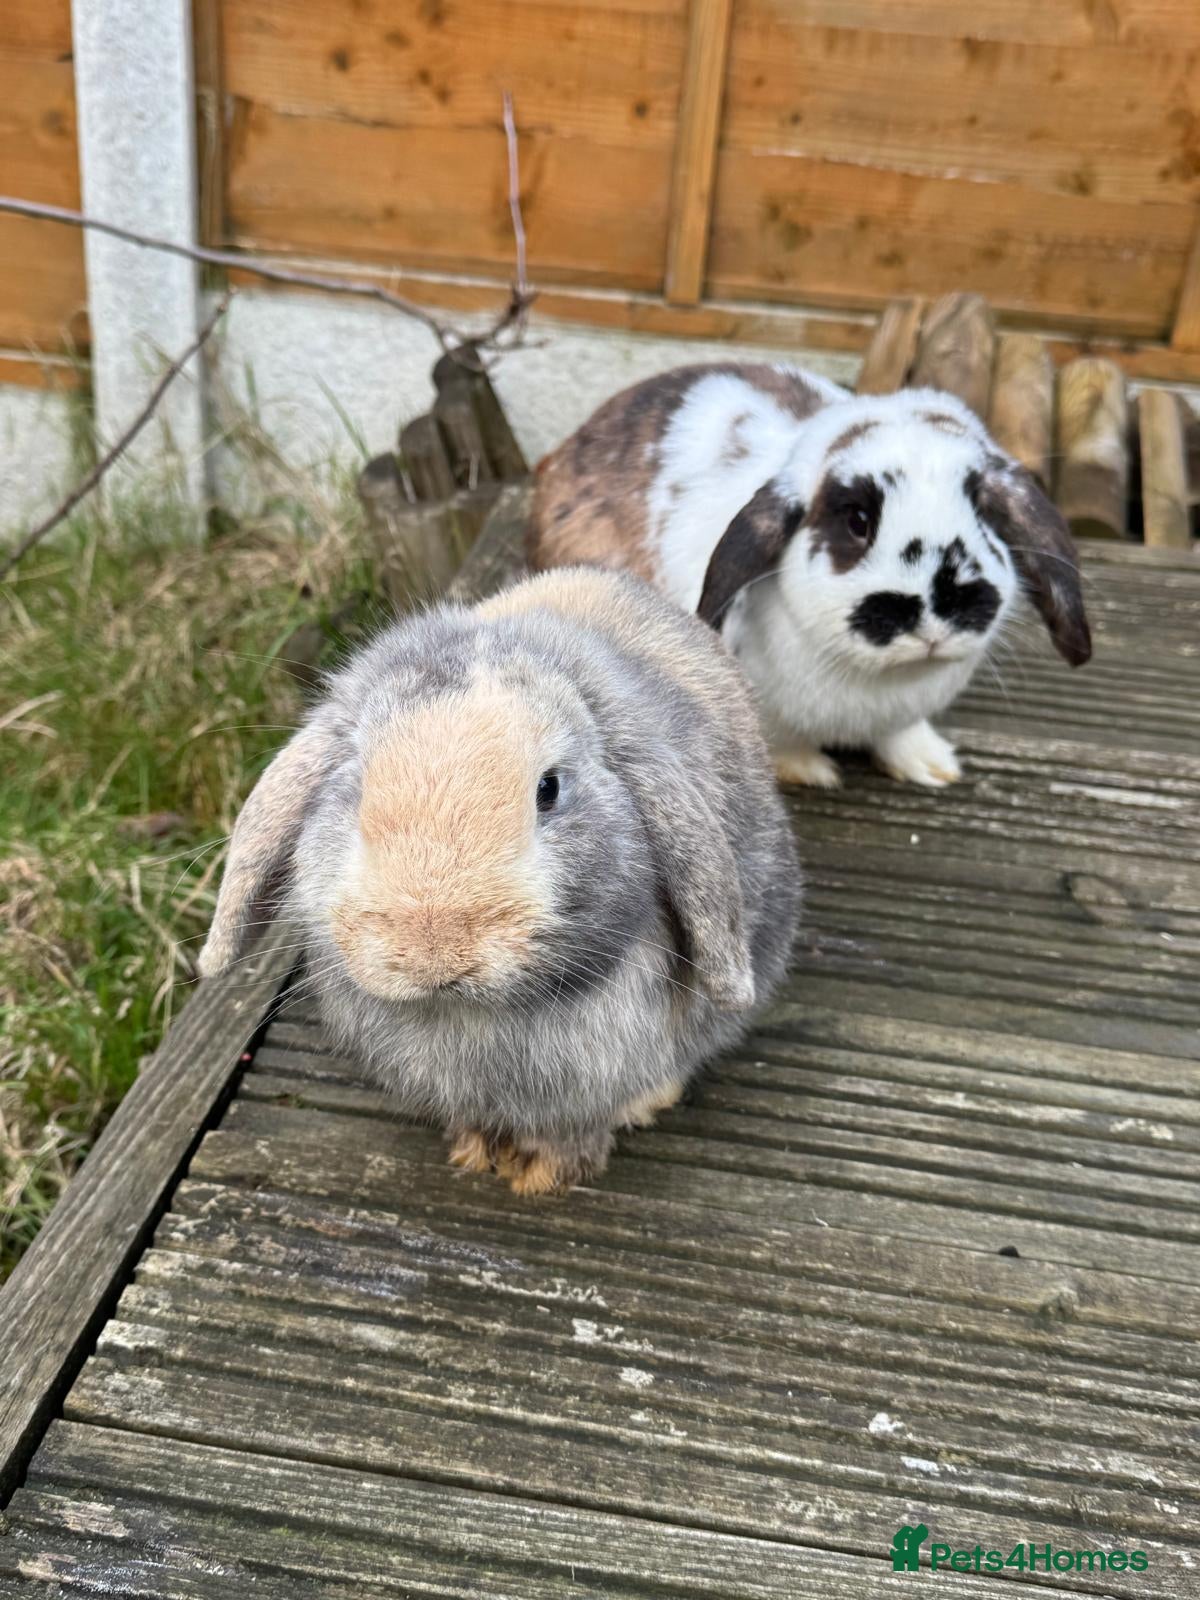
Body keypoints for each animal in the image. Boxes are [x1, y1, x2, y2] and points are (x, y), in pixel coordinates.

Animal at [199, 566, 801, 1196]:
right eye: (359, 784)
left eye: (549, 789)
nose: (433, 952)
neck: (472, 1016)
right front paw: (475, 1151)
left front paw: (542, 1175)